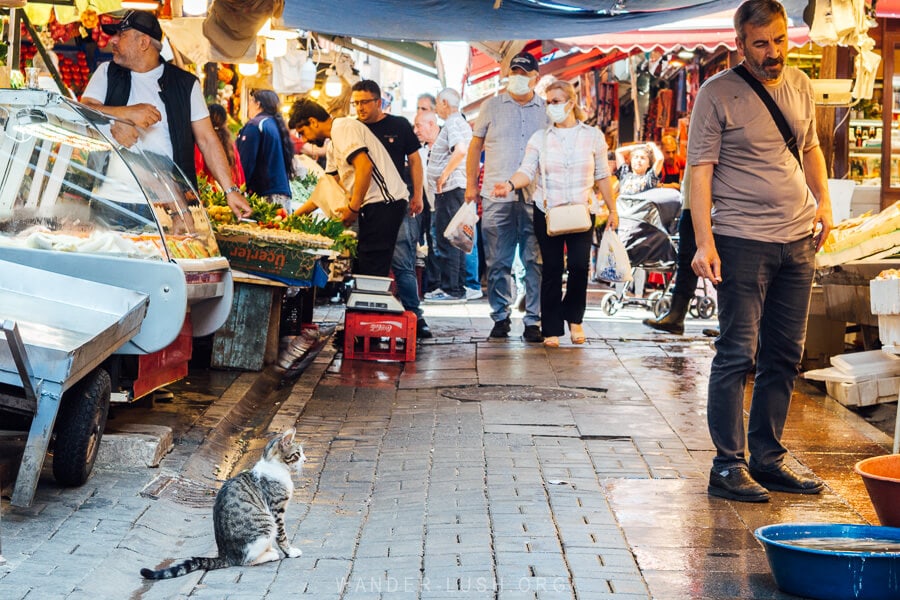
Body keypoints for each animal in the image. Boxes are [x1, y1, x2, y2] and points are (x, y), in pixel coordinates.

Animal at [141, 428, 308, 580]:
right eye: (298, 453)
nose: (306, 460)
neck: (275, 467)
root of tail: (226, 555)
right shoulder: (276, 510)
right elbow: (282, 535)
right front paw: (290, 552)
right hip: (267, 523)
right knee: (246, 560)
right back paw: (271, 554)